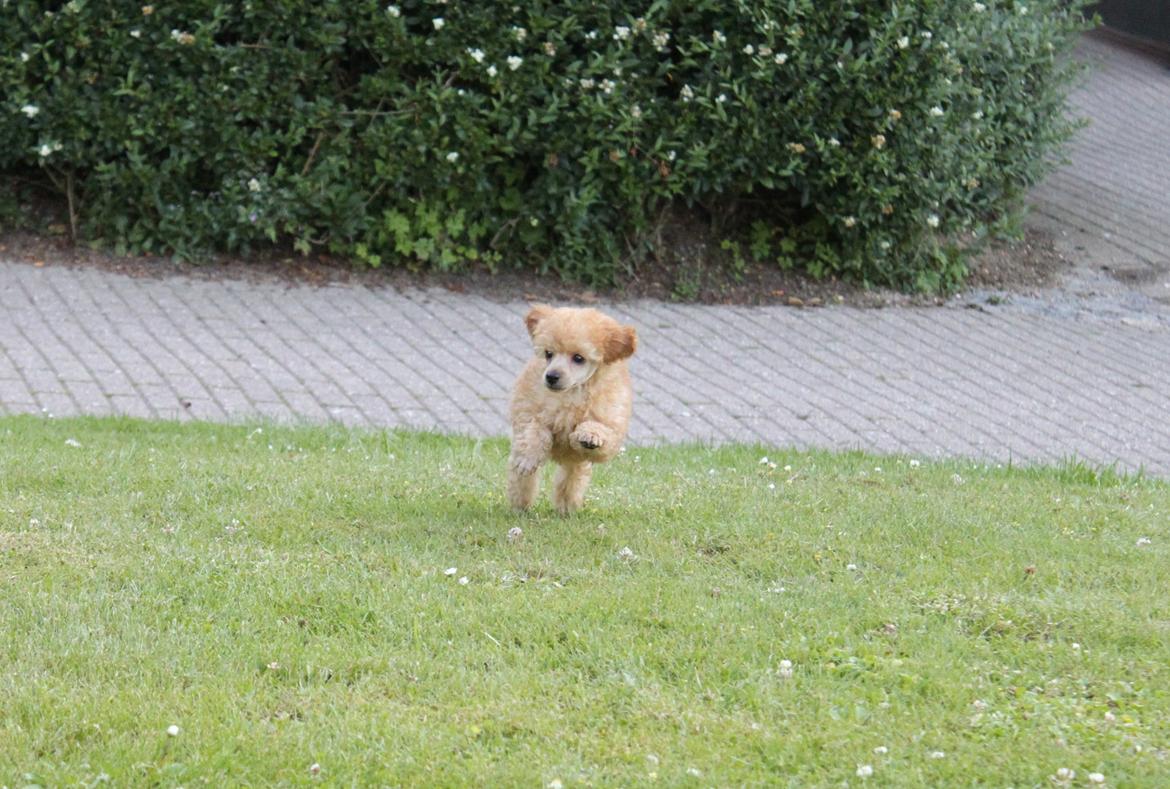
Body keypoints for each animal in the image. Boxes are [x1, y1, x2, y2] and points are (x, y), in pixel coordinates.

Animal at [510, 302, 641, 510]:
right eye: (548, 354)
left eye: (578, 358)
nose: (551, 376)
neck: (573, 392)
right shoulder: (528, 409)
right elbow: (535, 430)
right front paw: (528, 457)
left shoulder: (612, 422)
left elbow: (601, 430)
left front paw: (590, 435)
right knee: (522, 478)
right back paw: (520, 505)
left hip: (576, 462)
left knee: (572, 480)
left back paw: (566, 507)